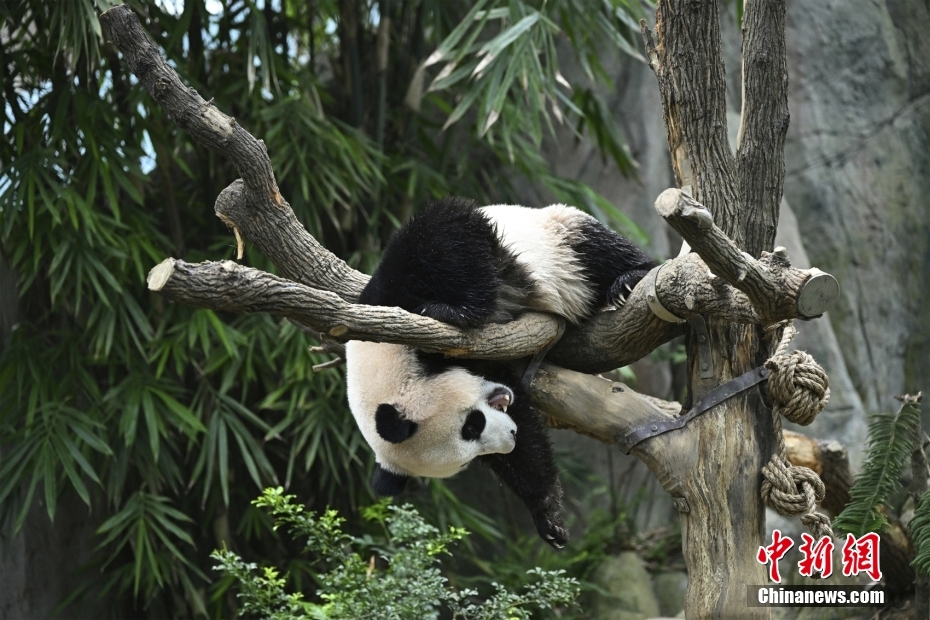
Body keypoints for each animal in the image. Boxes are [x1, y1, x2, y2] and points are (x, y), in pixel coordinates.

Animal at [346, 197, 656, 548]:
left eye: (472, 425)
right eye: (467, 459)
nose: (510, 437)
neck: (388, 359)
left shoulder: (395, 285)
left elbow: (447, 231)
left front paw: (455, 311)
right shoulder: (486, 368)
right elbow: (525, 436)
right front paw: (547, 512)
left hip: (559, 234)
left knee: (596, 248)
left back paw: (628, 279)